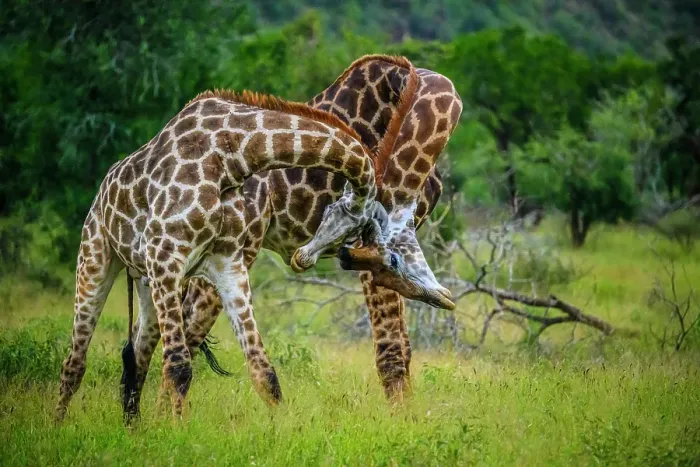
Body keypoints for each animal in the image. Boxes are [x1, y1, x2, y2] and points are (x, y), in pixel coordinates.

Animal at [55, 90, 394, 421]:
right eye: (350, 230)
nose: (302, 258)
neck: (231, 155)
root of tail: (101, 192)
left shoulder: (227, 263)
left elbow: (264, 371)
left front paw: (287, 429)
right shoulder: (166, 253)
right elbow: (179, 366)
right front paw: (175, 432)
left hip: (145, 281)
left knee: (136, 355)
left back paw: (133, 427)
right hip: (96, 256)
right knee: (75, 360)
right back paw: (58, 424)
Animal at [121, 56, 462, 417]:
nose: (303, 256)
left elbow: (402, 346)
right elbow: (392, 348)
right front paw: (402, 419)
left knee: (159, 332)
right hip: (230, 249)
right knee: (185, 330)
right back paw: (160, 417)